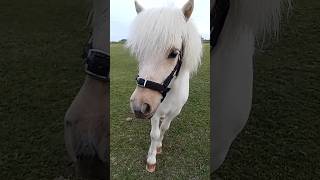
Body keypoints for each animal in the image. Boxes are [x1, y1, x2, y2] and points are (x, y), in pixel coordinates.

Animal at [126, 0, 201, 172]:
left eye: (174, 53)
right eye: (139, 52)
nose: (139, 107)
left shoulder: (175, 111)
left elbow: (164, 128)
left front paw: (158, 147)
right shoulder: (154, 110)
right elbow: (154, 133)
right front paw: (151, 159)